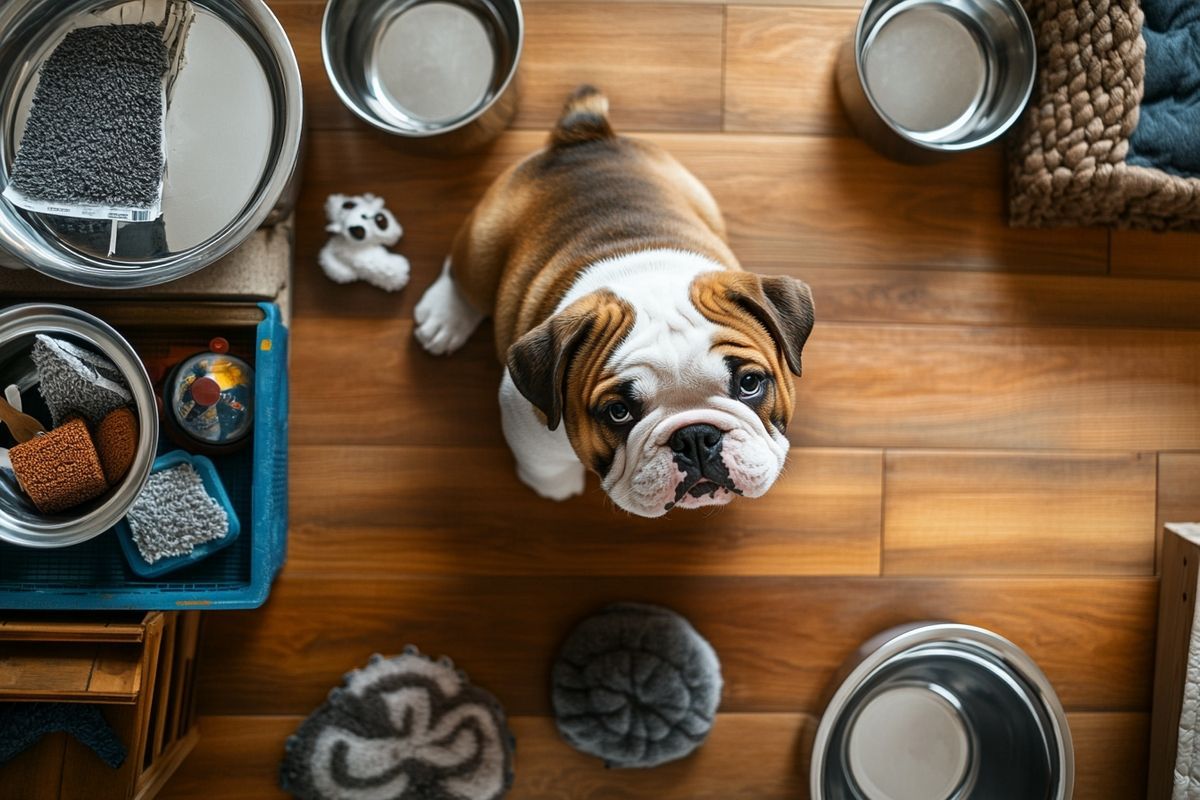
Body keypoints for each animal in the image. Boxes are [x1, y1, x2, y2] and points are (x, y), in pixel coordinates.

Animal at [415, 87, 816, 520]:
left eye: (749, 384)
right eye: (619, 412)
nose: (695, 436)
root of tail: (584, 137)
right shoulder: (525, 417)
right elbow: (543, 461)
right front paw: (556, 489)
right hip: (484, 243)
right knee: (463, 273)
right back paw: (444, 318)